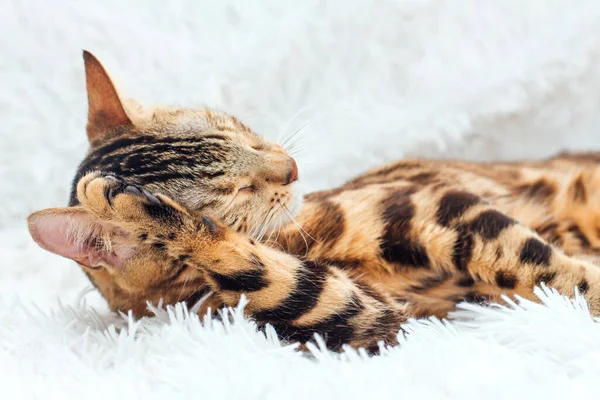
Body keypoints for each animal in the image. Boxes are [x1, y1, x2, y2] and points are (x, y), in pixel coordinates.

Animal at [28, 51, 600, 352]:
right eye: (235, 193)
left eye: (238, 130)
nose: (291, 167)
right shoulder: (369, 317)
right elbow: (265, 273)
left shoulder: (437, 207)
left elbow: (548, 270)